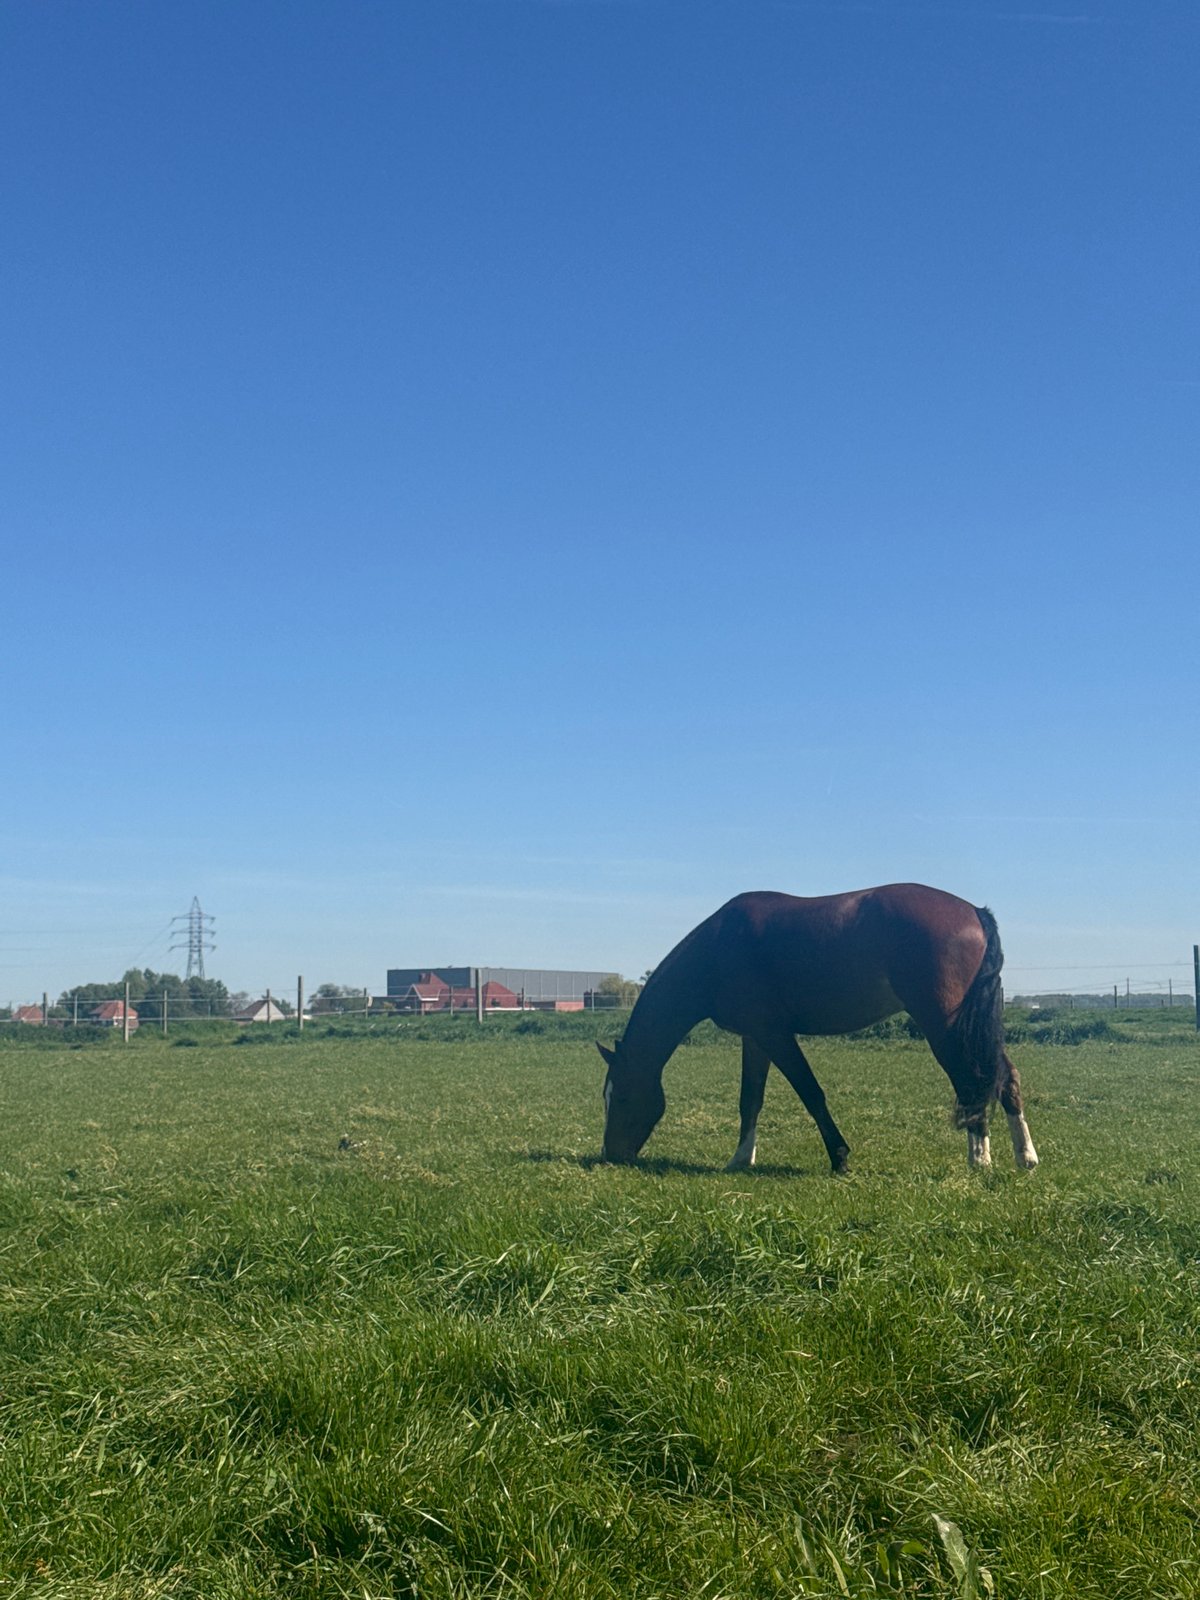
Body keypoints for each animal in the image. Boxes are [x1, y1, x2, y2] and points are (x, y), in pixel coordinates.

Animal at [598, 884, 1038, 1174]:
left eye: (621, 1097)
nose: (611, 1155)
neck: (718, 950)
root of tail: (975, 912)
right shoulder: (754, 1038)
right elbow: (750, 1100)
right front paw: (740, 1159)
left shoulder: (776, 1035)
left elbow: (811, 1093)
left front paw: (839, 1157)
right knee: (1005, 1077)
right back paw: (1025, 1157)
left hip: (945, 1027)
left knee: (972, 1081)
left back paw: (979, 1158)